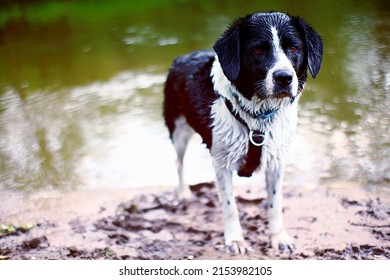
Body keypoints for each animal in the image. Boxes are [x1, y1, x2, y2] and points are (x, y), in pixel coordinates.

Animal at [162, 12, 322, 254]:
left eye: (294, 48)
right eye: (258, 50)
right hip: (178, 129)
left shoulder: (276, 161)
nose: (284, 77)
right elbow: (230, 205)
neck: (258, 117)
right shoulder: (221, 161)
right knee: (178, 161)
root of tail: (181, 57)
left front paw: (278, 237)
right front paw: (235, 239)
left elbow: (275, 203)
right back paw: (183, 193)